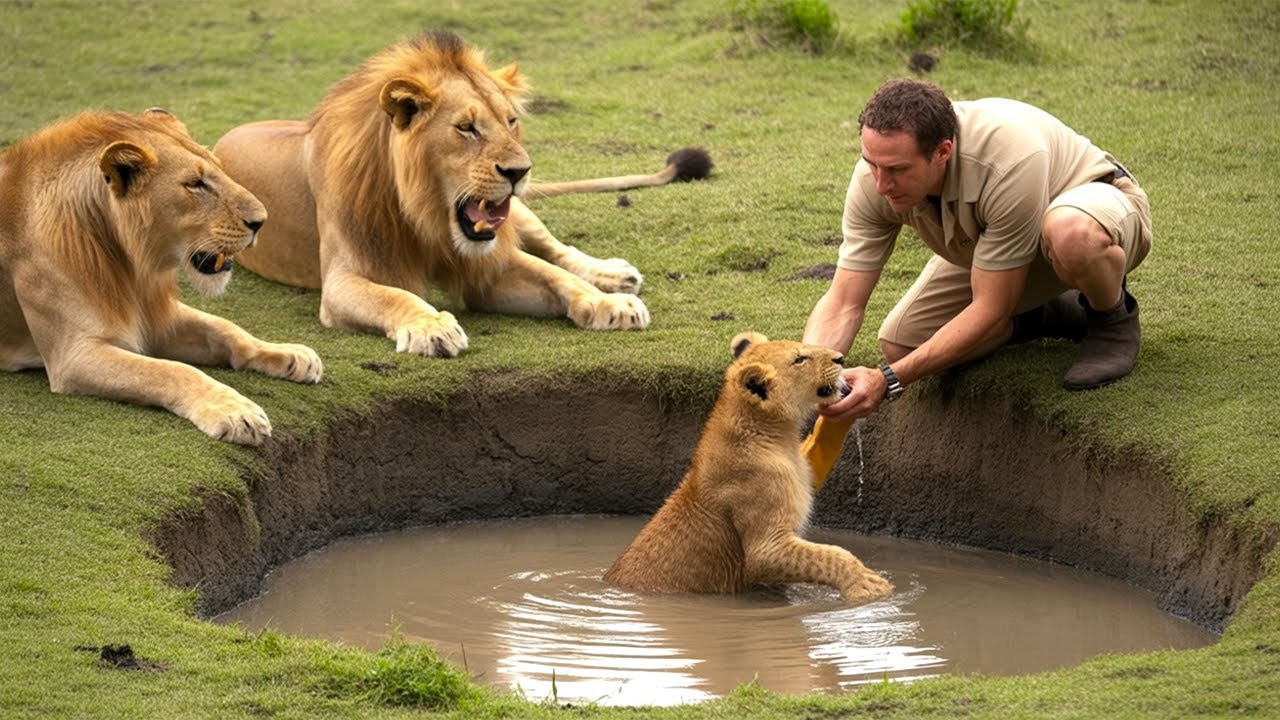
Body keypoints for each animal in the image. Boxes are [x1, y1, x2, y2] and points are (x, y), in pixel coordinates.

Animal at [0, 108, 323, 445]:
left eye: (220, 170)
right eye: (195, 184)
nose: (261, 221)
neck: (130, 266)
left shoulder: (156, 316)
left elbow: (225, 329)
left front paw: (290, 353)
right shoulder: (73, 356)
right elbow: (172, 371)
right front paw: (234, 411)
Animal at [213, 30, 709, 357]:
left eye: (510, 121)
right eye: (467, 128)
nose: (520, 171)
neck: (428, 215)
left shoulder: (488, 264)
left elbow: (553, 274)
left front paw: (607, 303)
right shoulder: (342, 282)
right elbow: (395, 297)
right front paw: (430, 324)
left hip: (519, 214)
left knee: (557, 249)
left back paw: (612, 275)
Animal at [604, 332, 893, 603]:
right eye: (799, 359)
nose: (840, 358)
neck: (777, 436)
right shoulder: (766, 548)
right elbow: (830, 555)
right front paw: (867, 584)